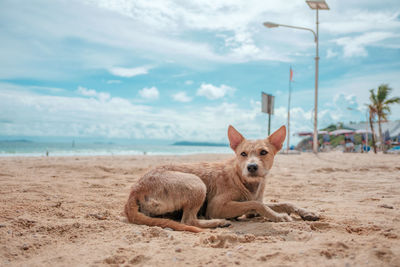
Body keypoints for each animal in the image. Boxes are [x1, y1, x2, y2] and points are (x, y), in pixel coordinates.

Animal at [125, 125, 318, 232]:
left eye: (263, 152)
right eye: (243, 154)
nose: (252, 167)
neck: (243, 179)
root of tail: (134, 191)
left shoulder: (255, 201)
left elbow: (283, 203)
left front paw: (307, 212)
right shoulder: (217, 206)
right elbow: (257, 204)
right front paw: (278, 217)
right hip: (197, 184)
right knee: (188, 220)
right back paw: (218, 222)